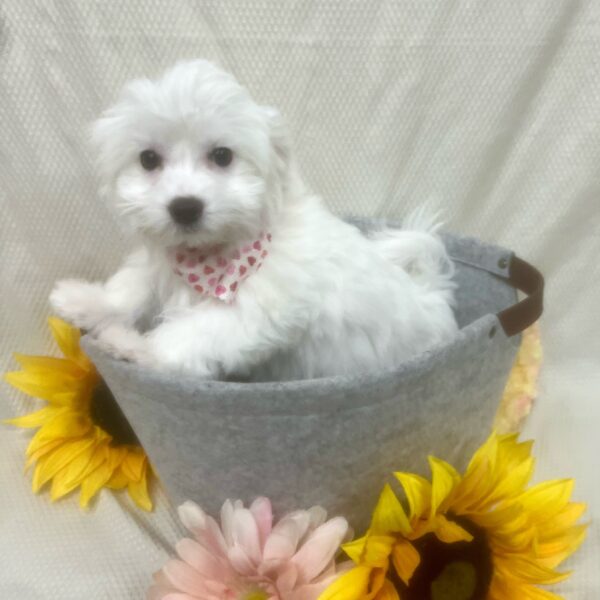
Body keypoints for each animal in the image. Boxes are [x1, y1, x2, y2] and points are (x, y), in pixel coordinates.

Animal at [51, 59, 458, 380]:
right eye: (148, 159)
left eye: (222, 155)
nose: (185, 207)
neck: (210, 256)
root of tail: (431, 291)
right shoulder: (161, 265)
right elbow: (133, 286)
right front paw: (84, 301)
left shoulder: (256, 308)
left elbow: (187, 335)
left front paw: (136, 347)